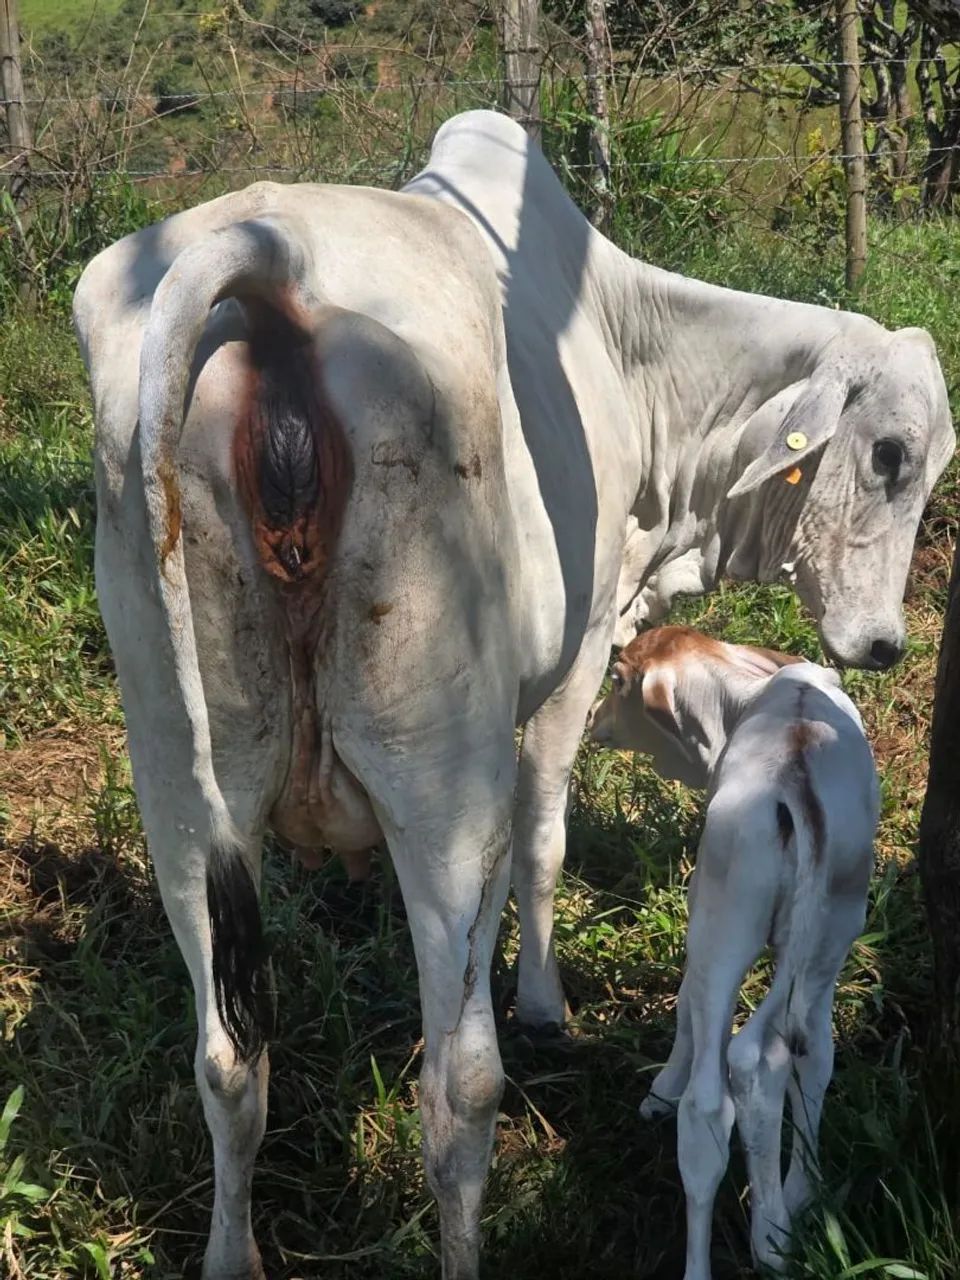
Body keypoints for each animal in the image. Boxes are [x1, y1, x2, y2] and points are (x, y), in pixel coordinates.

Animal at [72, 108, 953, 1279]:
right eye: (892, 454)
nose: (885, 644)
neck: (640, 354)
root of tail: (269, 262)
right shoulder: (572, 663)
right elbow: (543, 841)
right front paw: (541, 1001)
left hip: (179, 777)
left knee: (228, 1059)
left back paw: (233, 1253)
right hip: (437, 773)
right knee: (460, 1087)